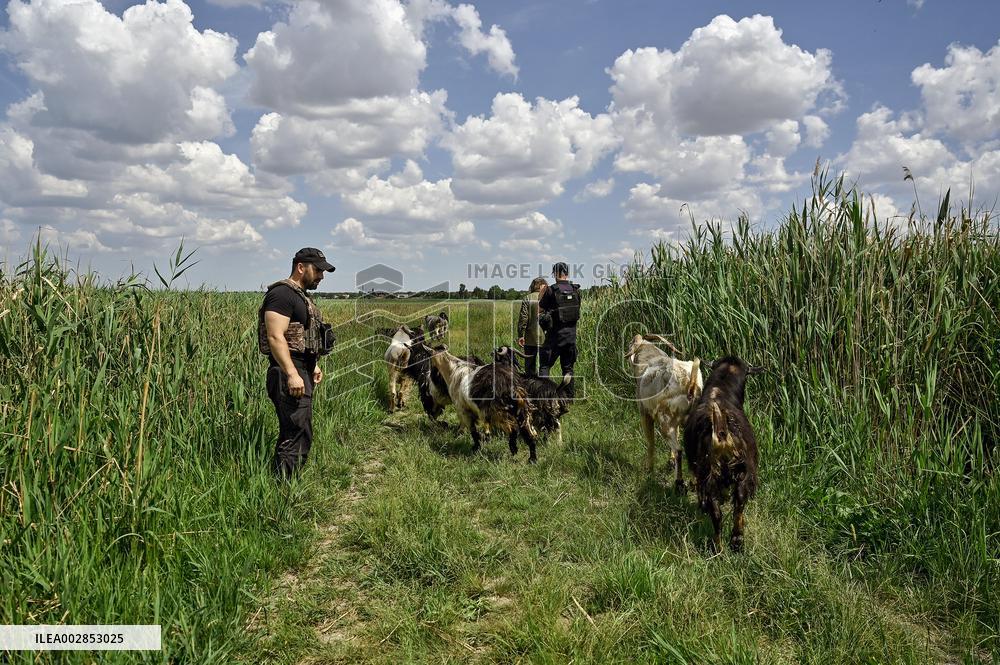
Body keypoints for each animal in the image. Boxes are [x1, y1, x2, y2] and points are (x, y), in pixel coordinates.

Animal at [625, 334, 703, 491]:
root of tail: (690, 384)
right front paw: (670, 461)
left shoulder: (645, 413)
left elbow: (650, 442)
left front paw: (649, 469)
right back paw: (694, 483)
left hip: (665, 420)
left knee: (679, 450)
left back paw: (679, 483)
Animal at [683, 356, 763, 553]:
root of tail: (720, 429)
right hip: (737, 471)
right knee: (737, 504)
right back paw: (734, 541)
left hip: (711, 475)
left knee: (719, 512)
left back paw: (721, 547)